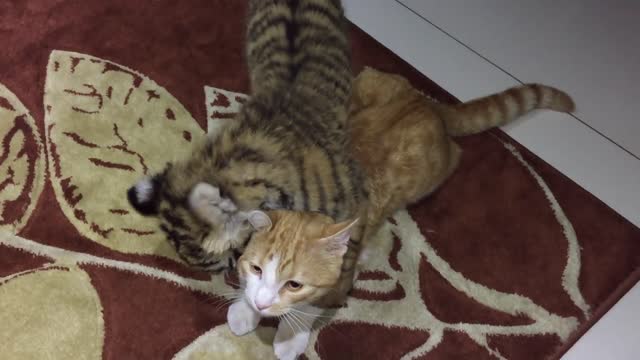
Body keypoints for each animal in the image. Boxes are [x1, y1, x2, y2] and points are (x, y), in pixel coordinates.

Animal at [226, 67, 576, 358]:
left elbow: (313, 306)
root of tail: (427, 102)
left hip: (435, 169)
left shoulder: (341, 276)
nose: (262, 304)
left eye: (295, 285)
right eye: (256, 268)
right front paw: (246, 309)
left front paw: (289, 337)